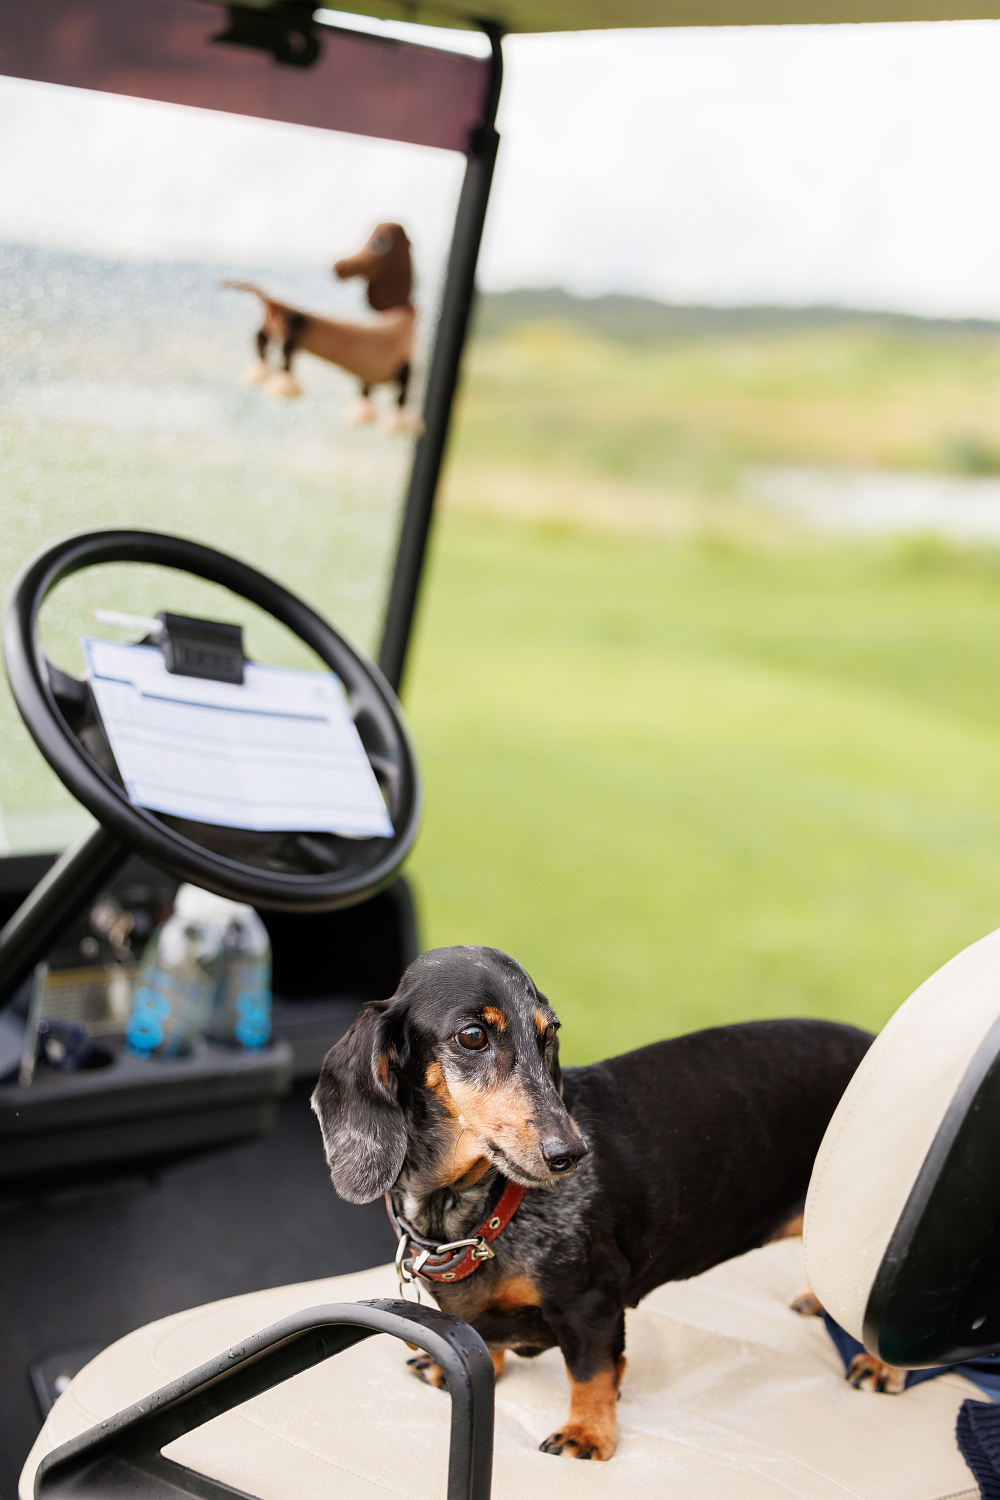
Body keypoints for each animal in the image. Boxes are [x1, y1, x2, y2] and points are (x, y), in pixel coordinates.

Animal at [310, 948, 869, 1464]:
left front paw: (588, 1432)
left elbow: (590, 1372)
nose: (571, 1154)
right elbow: (486, 1338)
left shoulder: (590, 1299)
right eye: (472, 1036)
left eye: (549, 1033)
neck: (481, 1208)